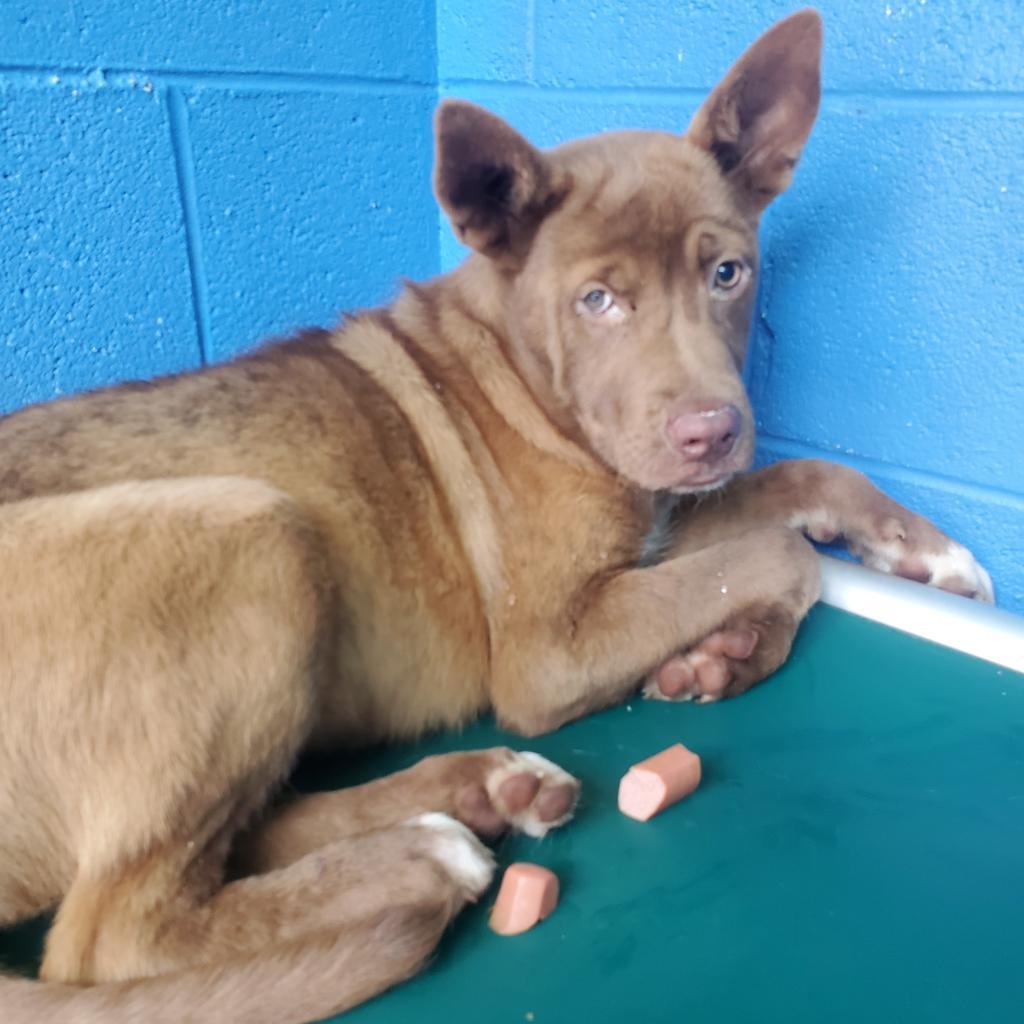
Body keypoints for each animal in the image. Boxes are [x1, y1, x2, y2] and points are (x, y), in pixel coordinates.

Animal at [0, 9, 991, 1024]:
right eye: (598, 300)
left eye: (727, 273)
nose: (711, 433)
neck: (523, 376)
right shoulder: (551, 650)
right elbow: (776, 557)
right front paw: (742, 641)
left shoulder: (654, 522)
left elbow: (795, 483)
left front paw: (912, 555)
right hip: (250, 531)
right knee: (110, 938)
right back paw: (417, 857)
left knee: (241, 836)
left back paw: (480, 789)